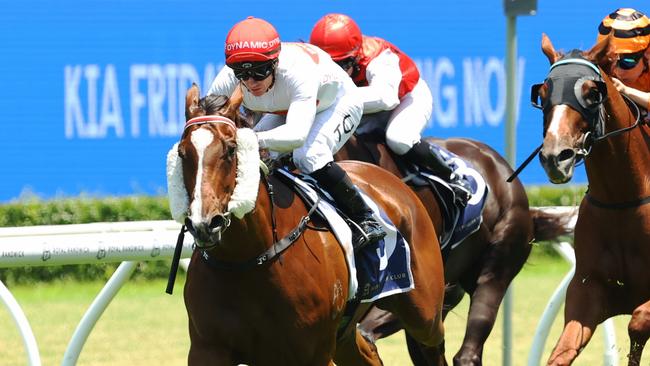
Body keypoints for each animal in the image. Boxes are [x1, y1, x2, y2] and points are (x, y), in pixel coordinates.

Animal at [170, 83, 448, 366]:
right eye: (182, 153)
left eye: (230, 150)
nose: (205, 224)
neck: (248, 258)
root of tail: (393, 181)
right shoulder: (207, 349)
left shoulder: (313, 352)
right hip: (346, 334)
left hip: (424, 312)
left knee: (432, 343)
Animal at [532, 33, 648, 364]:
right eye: (542, 93)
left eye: (592, 93)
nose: (555, 157)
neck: (622, 198)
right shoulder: (587, 291)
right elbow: (561, 353)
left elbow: (638, 323)